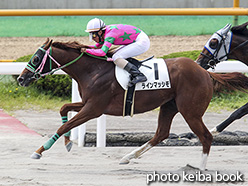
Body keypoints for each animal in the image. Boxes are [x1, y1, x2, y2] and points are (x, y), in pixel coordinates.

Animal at [17, 38, 248, 170]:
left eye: (36, 58)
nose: (21, 79)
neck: (93, 70)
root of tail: (205, 72)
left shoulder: (94, 108)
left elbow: (65, 124)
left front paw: (40, 150)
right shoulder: (88, 103)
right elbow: (64, 109)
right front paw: (67, 142)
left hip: (190, 111)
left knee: (206, 136)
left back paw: (199, 169)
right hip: (169, 105)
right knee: (161, 134)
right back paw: (128, 157)